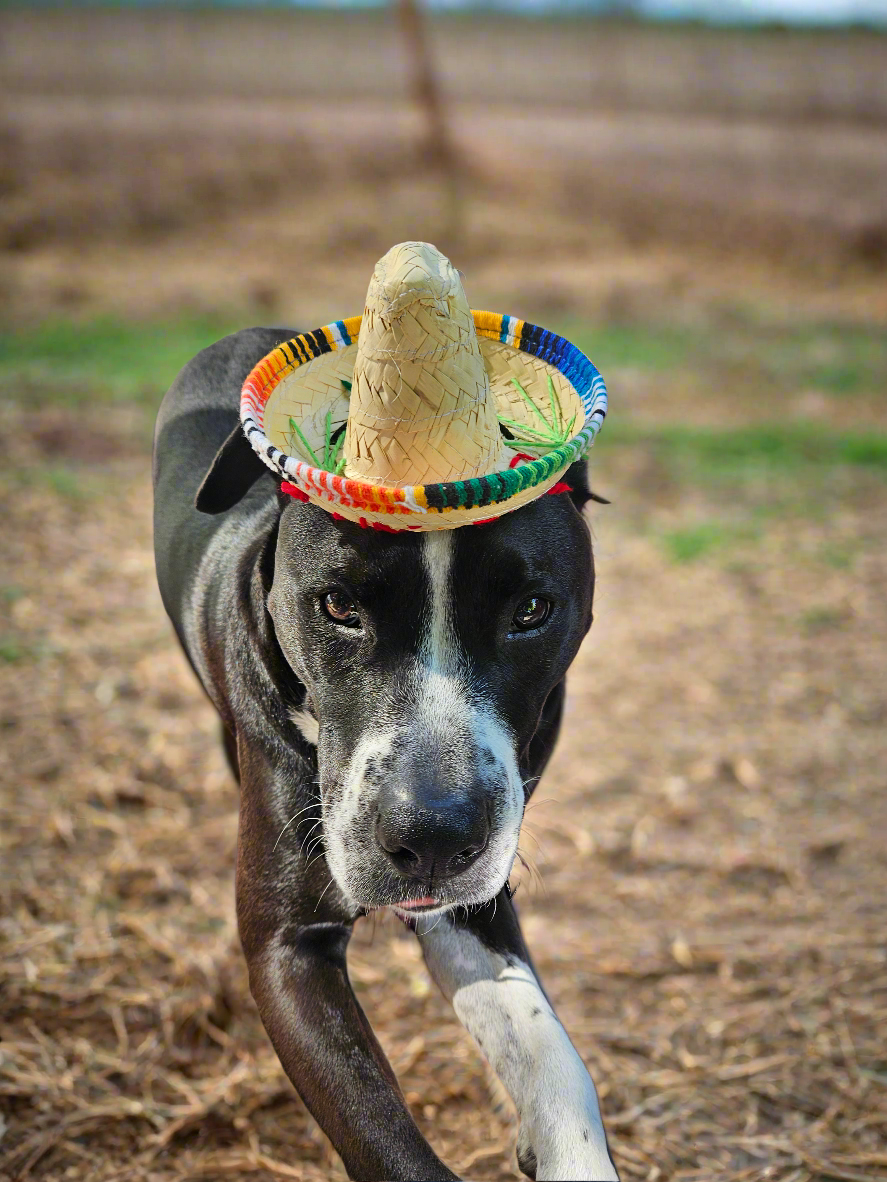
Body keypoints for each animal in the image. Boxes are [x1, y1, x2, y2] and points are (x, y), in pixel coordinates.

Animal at [152, 326, 619, 1182]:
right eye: (338, 606)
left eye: (532, 611)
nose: (432, 836)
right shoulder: (287, 949)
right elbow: (382, 1136)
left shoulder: (474, 900)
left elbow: (552, 1057)